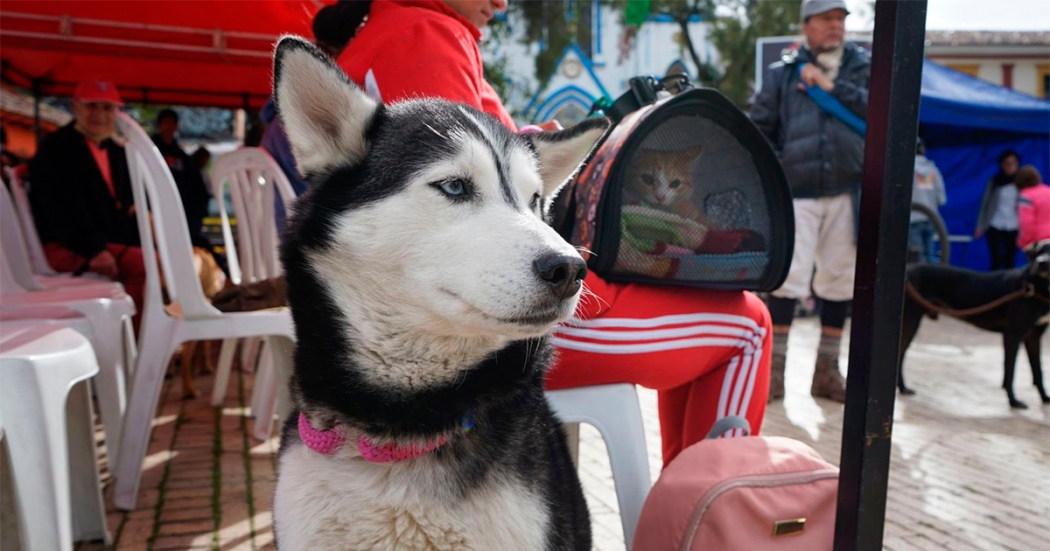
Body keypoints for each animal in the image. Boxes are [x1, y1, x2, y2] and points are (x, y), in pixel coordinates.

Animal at [894, 241, 1050, 407]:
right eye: (1040, 251)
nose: (1041, 262)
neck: (1036, 286)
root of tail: (908, 269)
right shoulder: (1012, 335)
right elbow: (1011, 371)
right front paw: (1013, 401)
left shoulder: (1034, 337)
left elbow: (1038, 370)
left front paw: (1045, 397)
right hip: (910, 321)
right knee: (900, 356)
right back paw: (902, 387)